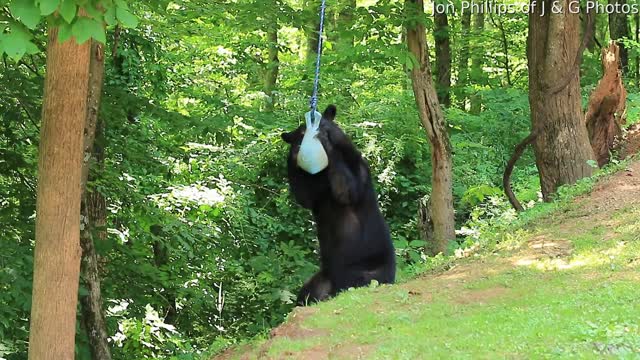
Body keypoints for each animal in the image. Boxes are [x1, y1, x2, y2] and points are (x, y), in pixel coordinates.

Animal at [282, 105, 396, 306]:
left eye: (321, 123)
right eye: (300, 133)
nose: (313, 132)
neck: (323, 173)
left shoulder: (357, 170)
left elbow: (346, 191)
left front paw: (327, 143)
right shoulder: (316, 187)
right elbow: (305, 196)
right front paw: (295, 153)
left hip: (370, 269)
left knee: (363, 280)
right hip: (323, 277)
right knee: (308, 292)